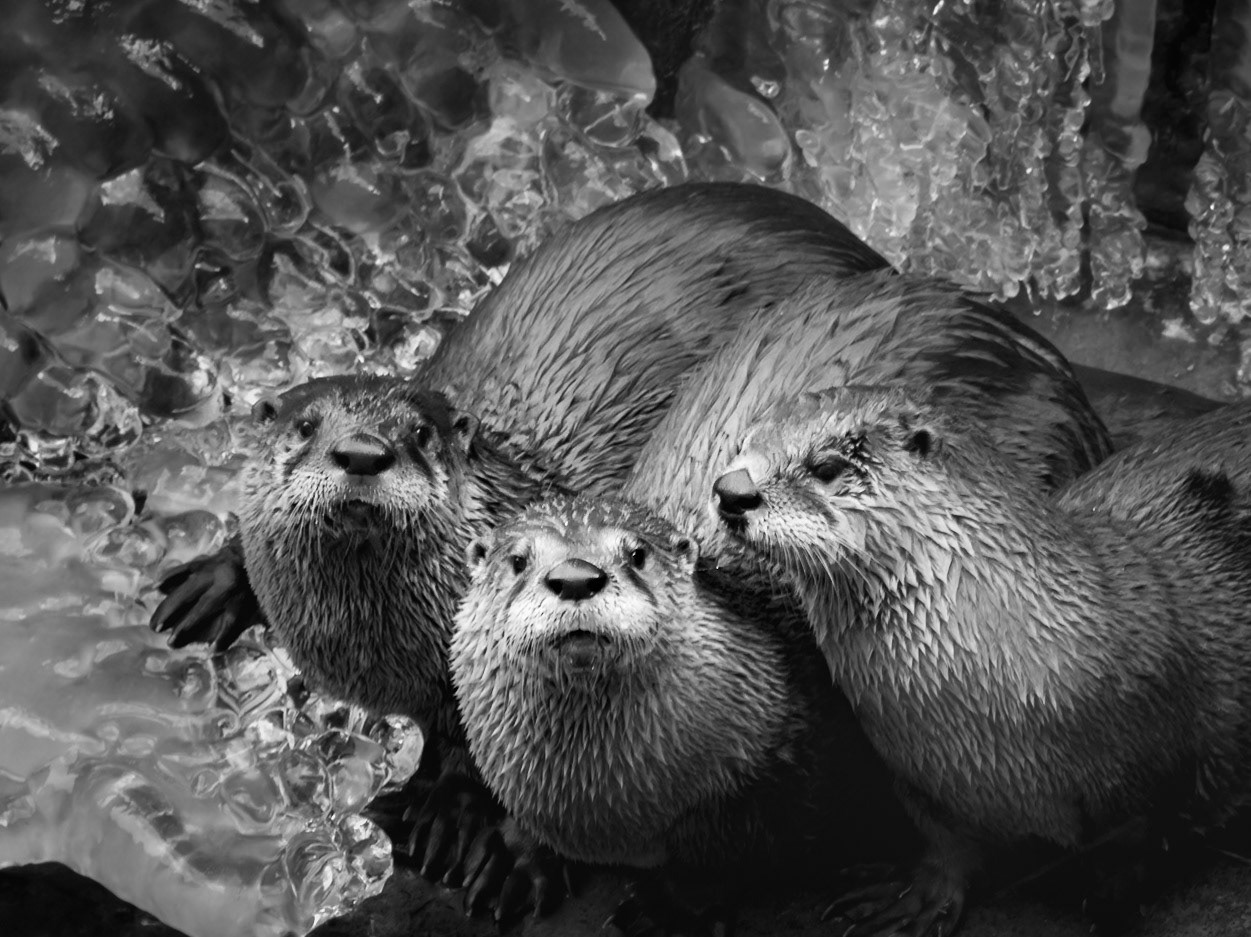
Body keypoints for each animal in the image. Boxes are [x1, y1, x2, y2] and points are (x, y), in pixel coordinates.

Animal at [448, 268, 1126, 926]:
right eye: (518, 560)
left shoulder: (793, 773)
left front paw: (673, 907)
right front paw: (516, 851)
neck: (618, 815)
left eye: (636, 554)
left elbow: (742, 860)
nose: (576, 579)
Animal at [714, 385, 1251, 937]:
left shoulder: (1160, 773)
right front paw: (915, 895)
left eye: (824, 467)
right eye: (740, 446)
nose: (730, 491)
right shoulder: (923, 779)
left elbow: (1134, 852)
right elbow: (947, 845)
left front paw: (1111, 908)